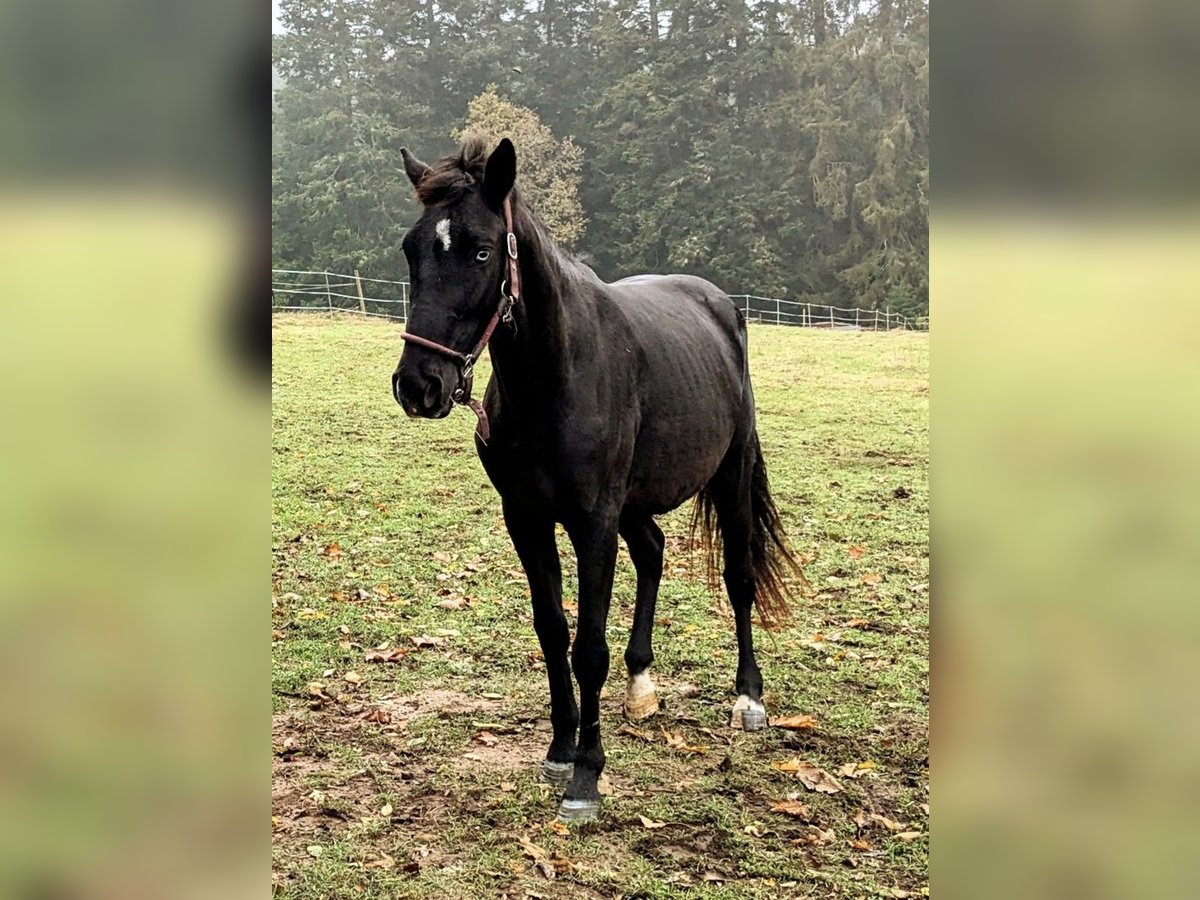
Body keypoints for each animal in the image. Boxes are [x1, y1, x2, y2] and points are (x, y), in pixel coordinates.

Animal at [396, 135, 806, 825]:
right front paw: (561, 749)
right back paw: (641, 685)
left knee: (739, 576)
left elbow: (588, 647)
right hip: (634, 504)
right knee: (654, 553)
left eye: (481, 250)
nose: (419, 384)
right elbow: (552, 630)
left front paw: (587, 775)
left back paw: (749, 699)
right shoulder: (527, 517)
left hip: (728, 475)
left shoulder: (592, 522)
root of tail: (722, 305)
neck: (556, 378)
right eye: (412, 248)